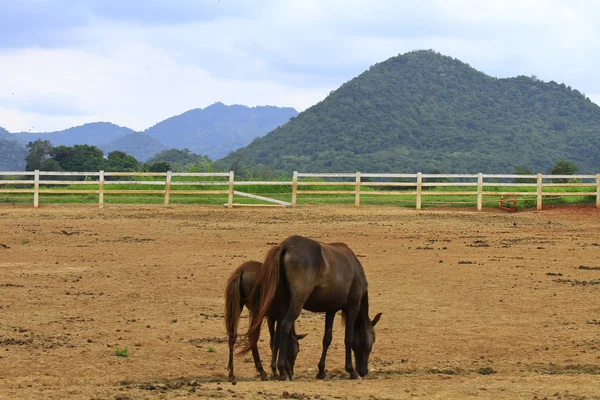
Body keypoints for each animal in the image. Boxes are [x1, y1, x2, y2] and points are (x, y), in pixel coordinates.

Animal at [241, 236, 382, 380]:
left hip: (283, 304)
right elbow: (348, 338)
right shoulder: (353, 306)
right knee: (285, 326)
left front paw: (321, 371)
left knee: (277, 333)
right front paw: (351, 370)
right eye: (373, 340)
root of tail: (286, 246)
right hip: (296, 303)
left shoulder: (331, 310)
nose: (364, 371)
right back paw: (282, 371)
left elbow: (327, 339)